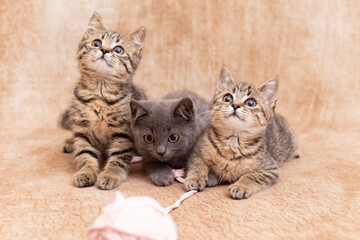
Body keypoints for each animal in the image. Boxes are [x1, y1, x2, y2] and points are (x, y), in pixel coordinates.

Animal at [64, 12, 146, 189]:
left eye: (118, 50)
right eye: (96, 43)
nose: (104, 50)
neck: (100, 95)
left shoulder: (123, 133)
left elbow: (118, 157)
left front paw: (110, 175)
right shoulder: (83, 130)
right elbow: (84, 153)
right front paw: (86, 172)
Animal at [184, 66, 300, 200]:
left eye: (251, 103)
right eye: (227, 98)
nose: (235, 105)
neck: (232, 142)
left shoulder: (270, 169)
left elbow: (251, 176)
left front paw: (241, 186)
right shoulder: (197, 153)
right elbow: (197, 166)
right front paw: (194, 178)